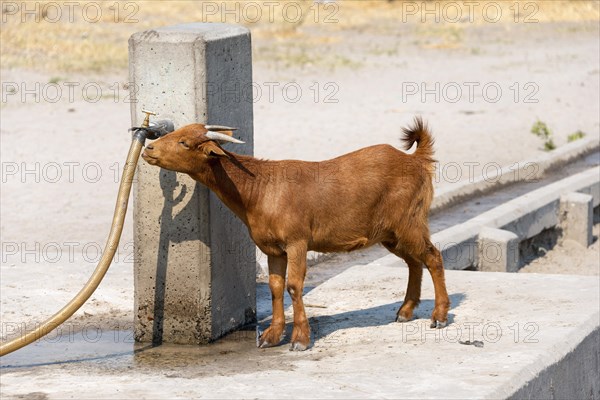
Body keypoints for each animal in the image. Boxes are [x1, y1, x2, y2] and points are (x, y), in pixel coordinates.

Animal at [142, 116, 450, 350]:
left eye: (184, 142)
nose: (148, 148)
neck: (259, 190)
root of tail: (417, 160)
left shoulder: (297, 241)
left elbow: (293, 285)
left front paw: (300, 339)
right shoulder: (272, 248)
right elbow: (276, 287)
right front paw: (271, 336)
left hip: (409, 220)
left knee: (433, 257)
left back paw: (439, 315)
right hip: (391, 233)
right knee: (414, 261)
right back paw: (405, 311)